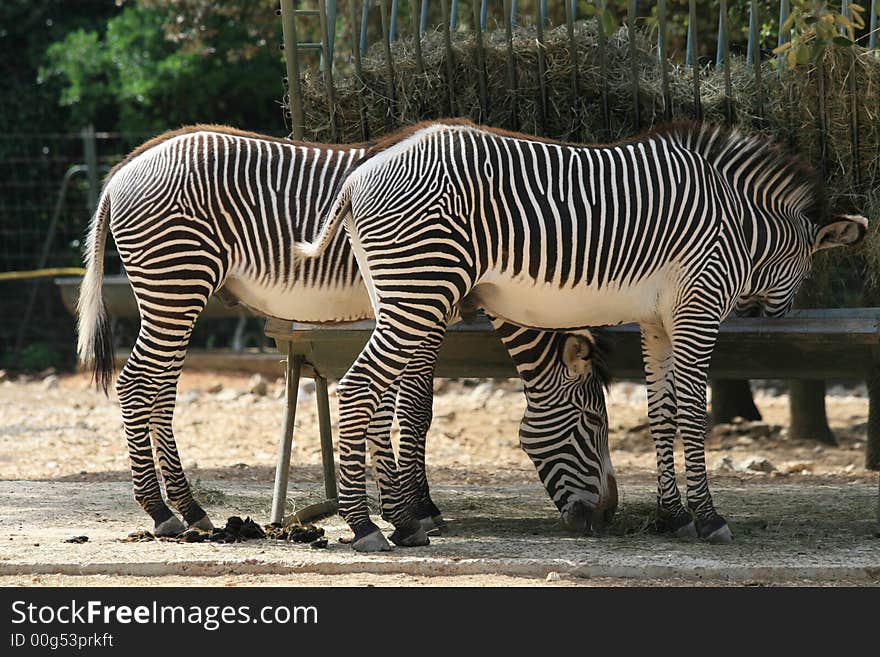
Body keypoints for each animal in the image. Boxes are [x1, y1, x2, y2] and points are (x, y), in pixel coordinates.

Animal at [75, 124, 616, 544]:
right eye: (591, 421)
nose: (607, 517)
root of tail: (125, 167)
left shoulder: (418, 305)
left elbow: (398, 404)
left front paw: (405, 507)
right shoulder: (431, 303)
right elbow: (416, 409)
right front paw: (421, 510)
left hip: (176, 294)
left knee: (159, 390)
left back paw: (189, 509)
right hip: (176, 282)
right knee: (136, 384)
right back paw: (161, 512)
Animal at [294, 119, 868, 548]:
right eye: (592, 421)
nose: (774, 314)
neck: (740, 226)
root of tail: (355, 179)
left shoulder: (658, 320)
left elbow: (661, 414)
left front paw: (673, 517)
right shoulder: (698, 307)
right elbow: (691, 412)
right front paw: (708, 519)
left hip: (399, 295)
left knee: (380, 391)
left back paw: (405, 523)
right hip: (422, 286)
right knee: (357, 388)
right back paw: (365, 527)